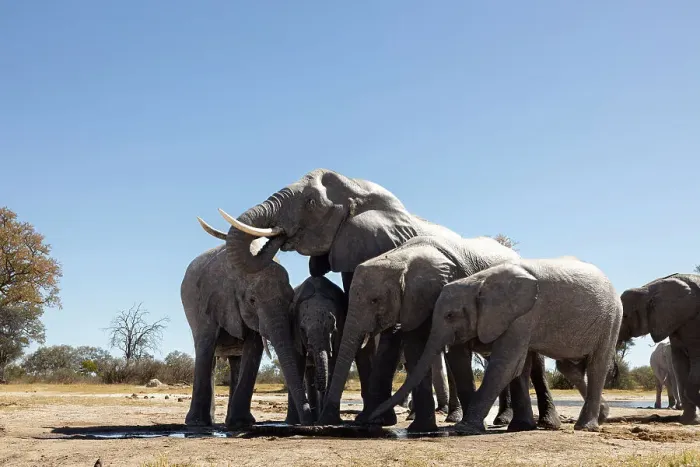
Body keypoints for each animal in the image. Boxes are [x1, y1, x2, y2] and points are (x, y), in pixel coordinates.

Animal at [185, 218, 311, 427]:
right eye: (252, 300)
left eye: (290, 298)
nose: (308, 419)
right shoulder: (207, 302)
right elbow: (206, 345)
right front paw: (195, 423)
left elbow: (253, 349)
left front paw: (240, 423)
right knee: (210, 358)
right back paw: (206, 422)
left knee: (236, 362)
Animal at [328, 235, 559, 432]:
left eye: (375, 300)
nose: (332, 422)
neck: (403, 256)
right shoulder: (413, 302)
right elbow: (414, 348)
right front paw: (419, 429)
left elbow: (457, 355)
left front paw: (463, 427)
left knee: (534, 363)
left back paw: (541, 423)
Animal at [370, 257, 622, 433]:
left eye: (450, 315)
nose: (369, 419)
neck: (479, 282)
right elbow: (518, 367)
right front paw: (520, 427)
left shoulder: (524, 314)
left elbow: (507, 364)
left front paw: (463, 429)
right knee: (568, 367)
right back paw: (602, 415)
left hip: (611, 319)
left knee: (597, 365)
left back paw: (585, 426)